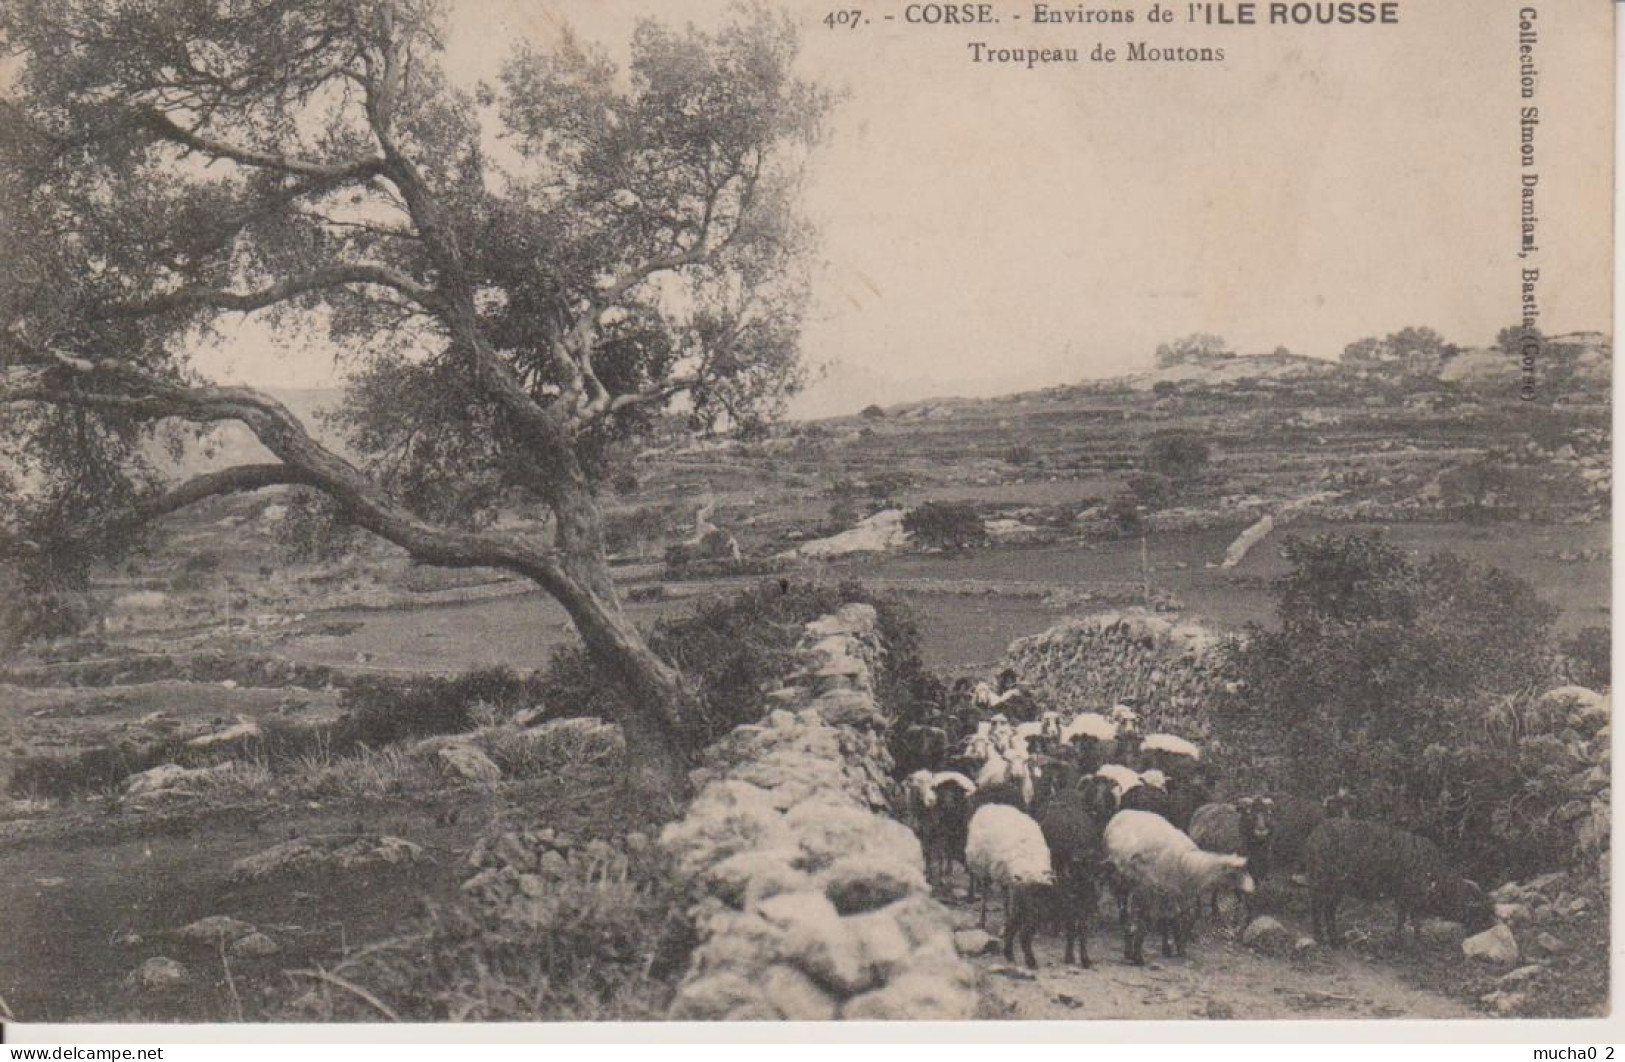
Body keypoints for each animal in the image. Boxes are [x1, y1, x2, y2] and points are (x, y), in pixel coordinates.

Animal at [1105, 815, 1254, 967]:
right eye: (1235, 873)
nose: (1251, 890)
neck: (1187, 862)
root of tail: (1121, 813)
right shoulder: (1155, 891)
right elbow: (1154, 921)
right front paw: (1141, 955)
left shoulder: (1172, 892)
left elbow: (1175, 919)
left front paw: (1173, 948)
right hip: (1123, 884)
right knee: (1127, 914)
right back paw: (1131, 949)